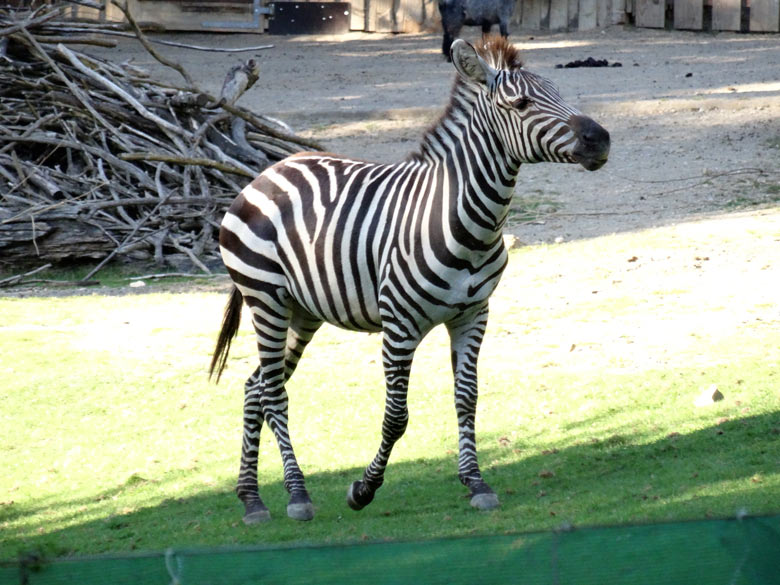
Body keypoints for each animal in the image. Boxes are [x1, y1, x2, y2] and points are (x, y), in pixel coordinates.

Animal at [212, 36, 608, 524]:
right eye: (521, 103)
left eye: (558, 91)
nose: (601, 139)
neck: (468, 224)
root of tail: (265, 173)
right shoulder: (399, 326)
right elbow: (397, 416)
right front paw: (363, 489)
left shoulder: (473, 315)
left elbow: (467, 398)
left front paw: (476, 483)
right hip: (266, 299)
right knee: (273, 393)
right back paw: (297, 494)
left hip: (303, 312)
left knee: (255, 388)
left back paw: (252, 498)